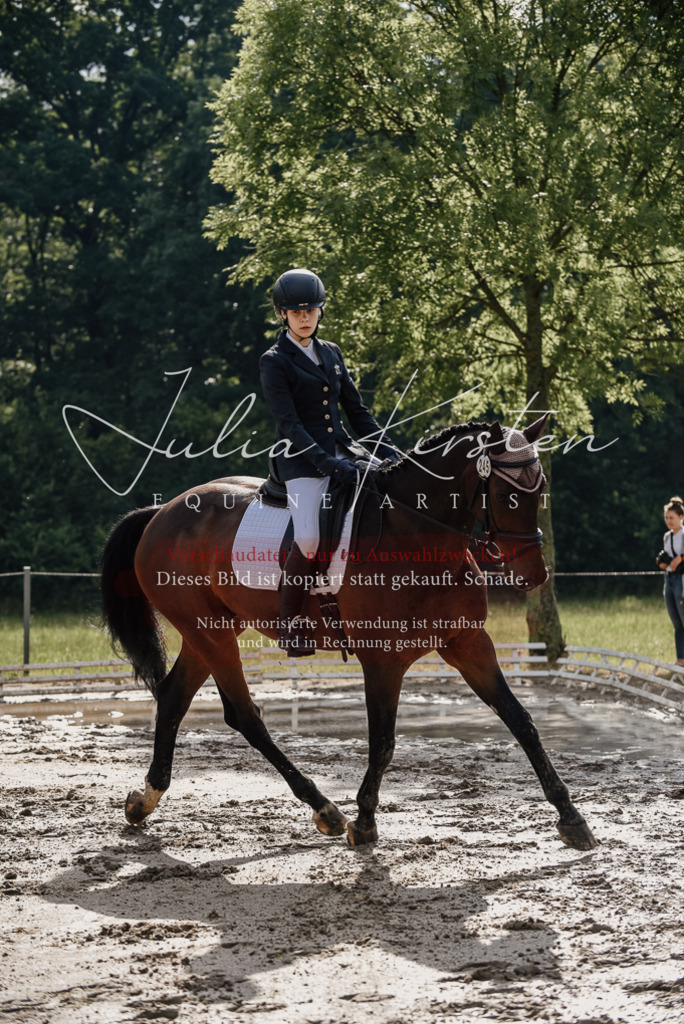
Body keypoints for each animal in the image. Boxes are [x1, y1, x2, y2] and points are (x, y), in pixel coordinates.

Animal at [101, 415, 597, 851]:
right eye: (507, 493)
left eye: (541, 489)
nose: (534, 575)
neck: (417, 536)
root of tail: (161, 511)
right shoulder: (382, 660)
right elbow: (383, 743)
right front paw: (364, 821)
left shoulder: (469, 643)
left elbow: (522, 722)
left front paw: (572, 819)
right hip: (212, 634)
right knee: (243, 715)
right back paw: (325, 809)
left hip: (211, 630)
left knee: (173, 697)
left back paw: (144, 801)